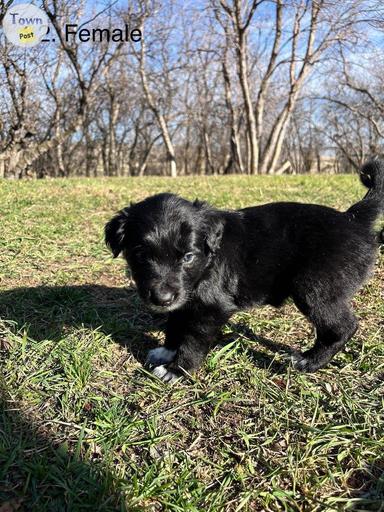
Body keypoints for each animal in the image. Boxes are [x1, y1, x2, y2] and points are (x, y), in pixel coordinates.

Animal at [105, 159, 384, 380]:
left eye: (188, 257)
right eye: (140, 255)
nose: (161, 298)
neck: (206, 264)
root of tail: (353, 218)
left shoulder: (211, 309)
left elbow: (193, 340)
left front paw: (178, 369)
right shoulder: (183, 300)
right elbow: (175, 323)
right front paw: (166, 350)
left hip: (316, 290)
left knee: (343, 326)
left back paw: (309, 361)